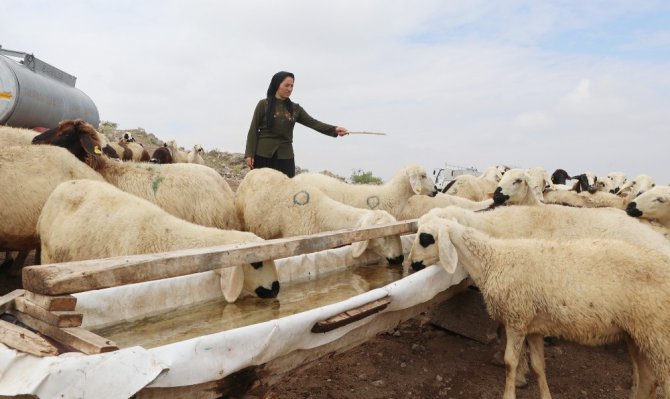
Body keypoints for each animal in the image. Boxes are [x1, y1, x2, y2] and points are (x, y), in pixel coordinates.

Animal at [410, 219, 670, 399]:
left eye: (426, 237)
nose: (412, 264)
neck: (492, 260)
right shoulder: (534, 326)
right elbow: (538, 367)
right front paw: (545, 395)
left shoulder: (516, 318)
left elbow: (510, 362)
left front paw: (509, 394)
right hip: (638, 334)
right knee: (648, 380)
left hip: (658, 333)